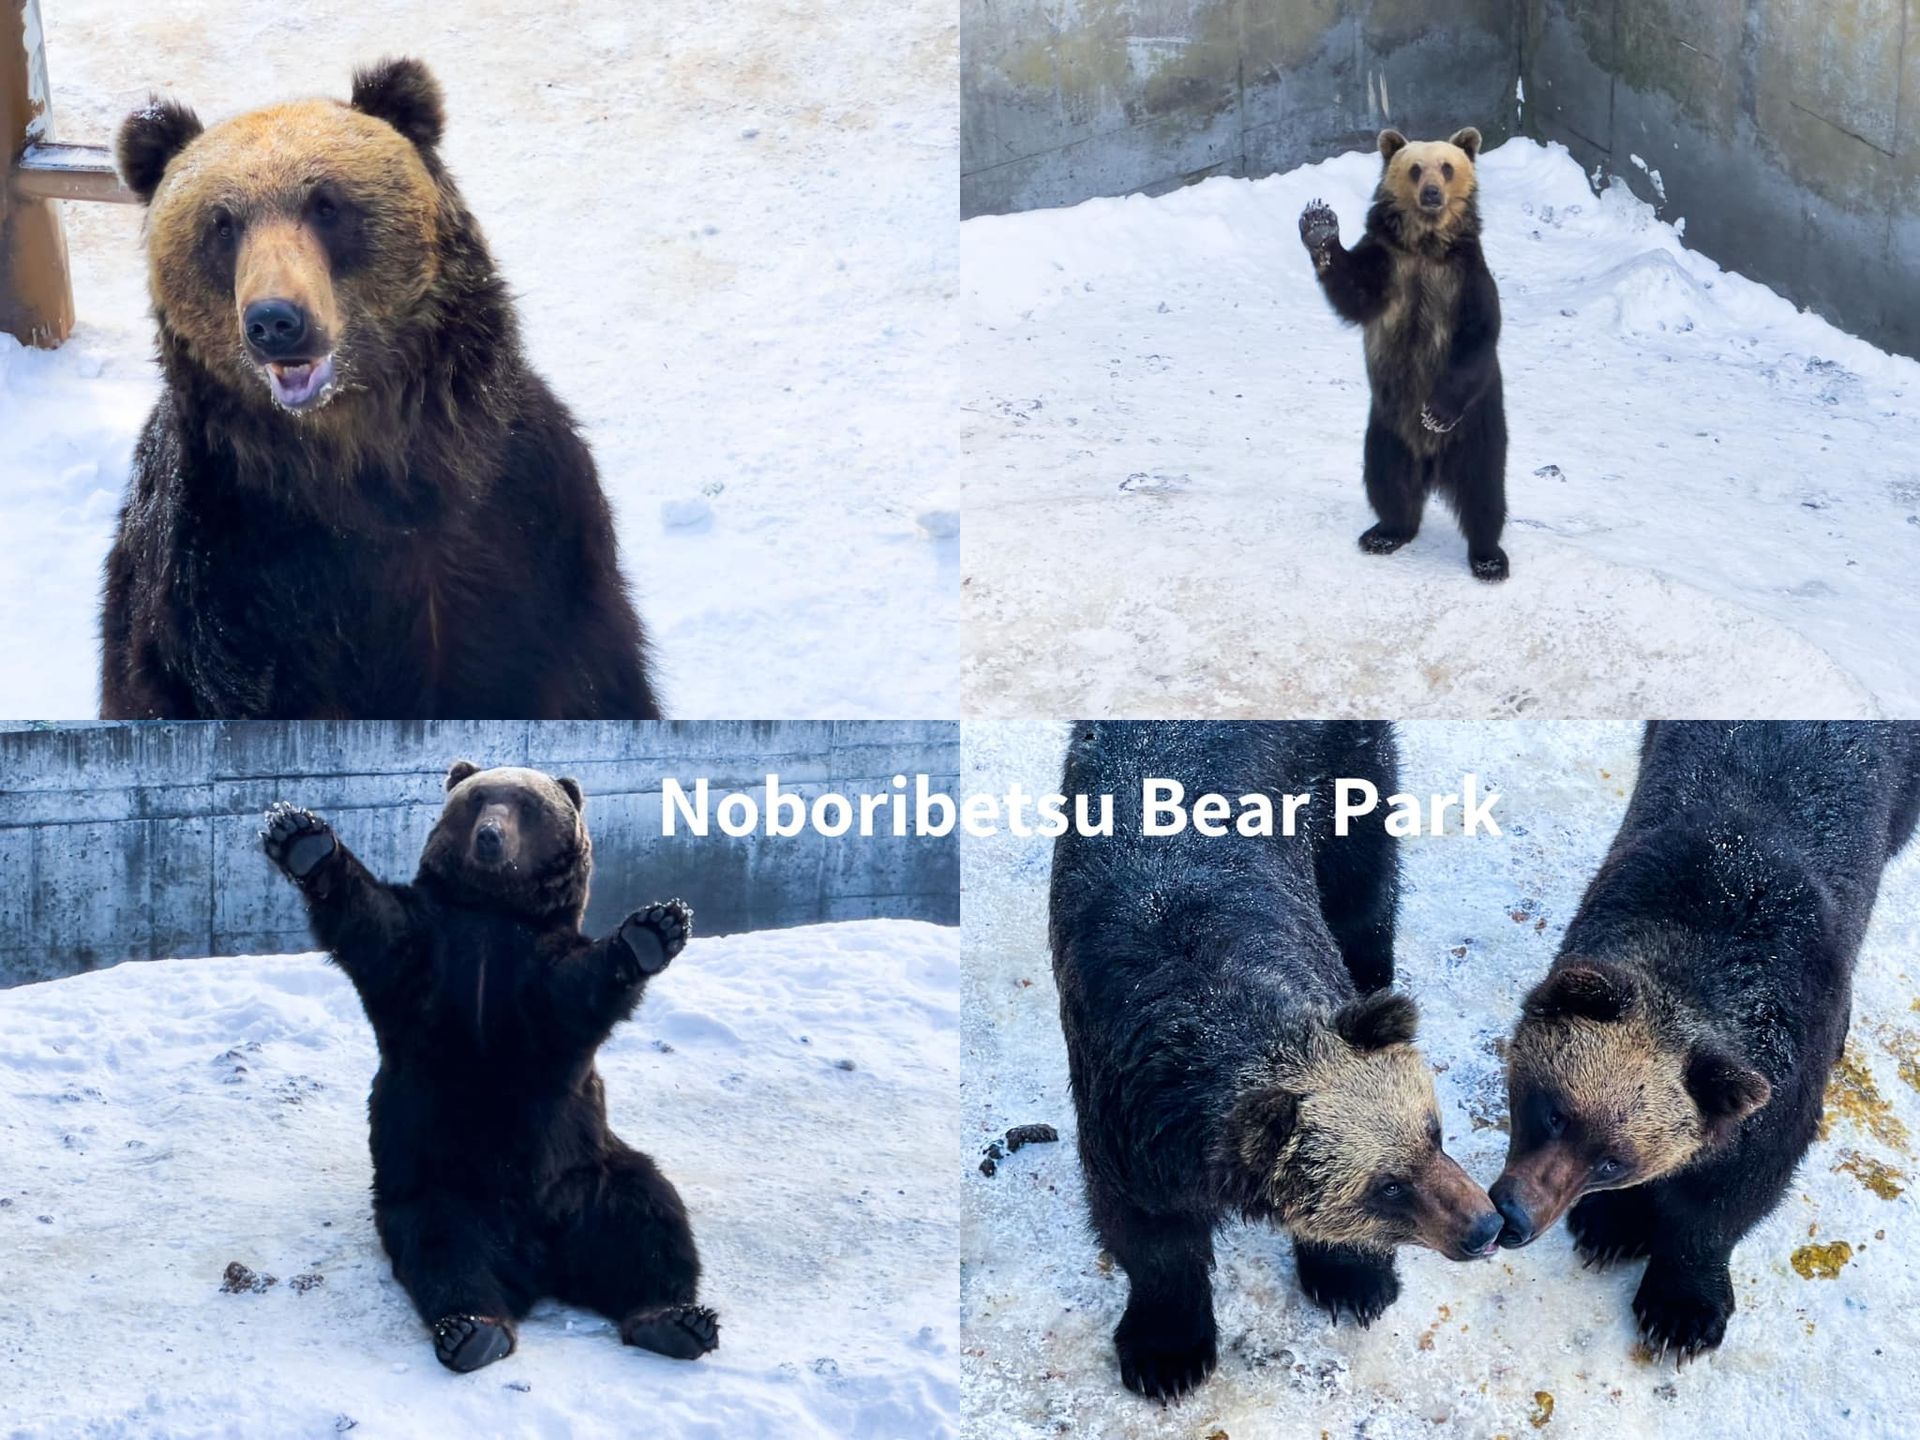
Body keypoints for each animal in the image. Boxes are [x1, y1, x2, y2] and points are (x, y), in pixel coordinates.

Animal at [261, 759, 715, 1372]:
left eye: (528, 805)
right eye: (478, 801)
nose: (491, 838)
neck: (493, 913)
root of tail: (542, 1255)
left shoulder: (535, 979)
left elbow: (577, 994)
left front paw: (653, 929)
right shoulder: (430, 955)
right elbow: (372, 922)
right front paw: (303, 838)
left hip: (591, 1172)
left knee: (650, 1220)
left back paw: (673, 1319)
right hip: (441, 1186)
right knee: (447, 1255)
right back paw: (474, 1330)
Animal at [1049, 721, 1501, 1400]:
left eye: (1434, 1132)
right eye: (1387, 1186)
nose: (1485, 1228)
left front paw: (1353, 1280)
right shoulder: (1124, 1116)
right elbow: (1148, 1237)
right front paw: (1167, 1353)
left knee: (1362, 897)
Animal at [1299, 127, 1509, 581]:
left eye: (1446, 167)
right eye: (1415, 168)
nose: (1431, 193)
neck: (1426, 245)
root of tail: (1431, 465)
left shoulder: (1466, 279)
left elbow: (1477, 337)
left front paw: (1435, 412)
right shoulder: (1388, 265)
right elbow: (1353, 290)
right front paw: (1320, 225)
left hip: (1477, 431)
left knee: (1484, 491)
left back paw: (1488, 558)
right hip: (1386, 428)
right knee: (1387, 479)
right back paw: (1386, 532)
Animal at [1491, 721, 1920, 1360]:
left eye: (1612, 1160)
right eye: (1553, 1112)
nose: (1515, 1216)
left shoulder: (1786, 1073)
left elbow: (1731, 1198)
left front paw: (1681, 1312)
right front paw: (1613, 1226)